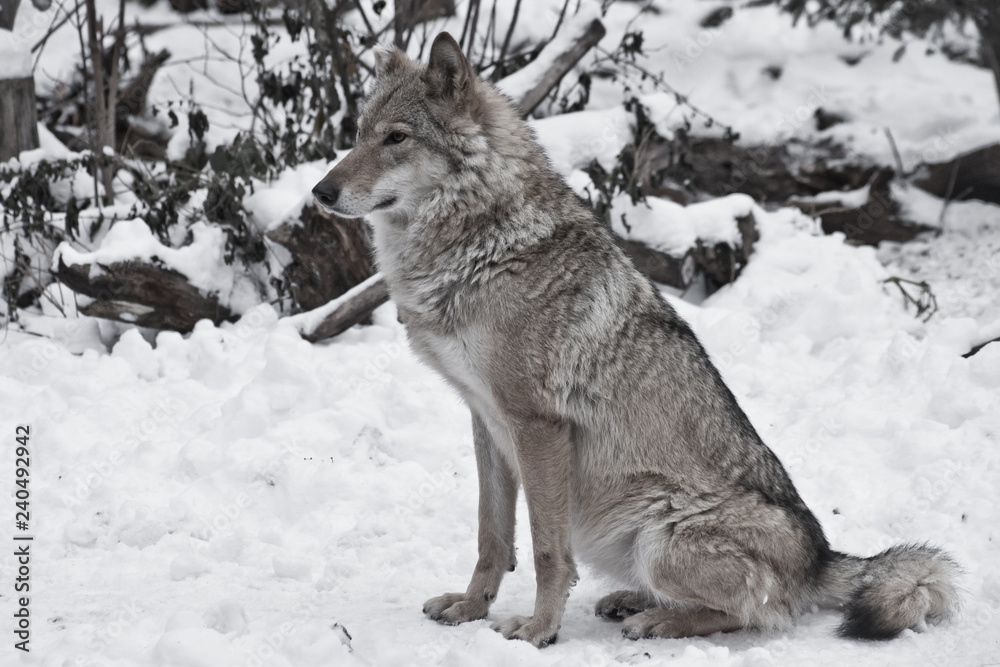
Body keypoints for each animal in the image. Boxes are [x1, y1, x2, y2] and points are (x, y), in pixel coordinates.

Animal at [312, 33, 960, 647]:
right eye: (359, 135)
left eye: (396, 138)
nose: (320, 192)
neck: (482, 244)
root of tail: (822, 561)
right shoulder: (486, 421)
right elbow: (490, 536)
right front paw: (471, 609)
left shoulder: (536, 425)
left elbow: (546, 551)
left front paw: (539, 631)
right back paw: (631, 603)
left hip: (659, 534)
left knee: (759, 614)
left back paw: (656, 621)